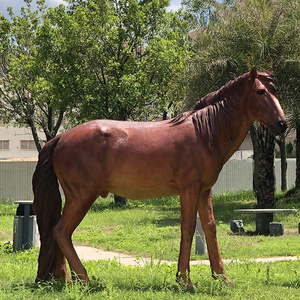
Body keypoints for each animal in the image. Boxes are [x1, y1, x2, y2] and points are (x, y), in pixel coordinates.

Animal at [32, 65, 286, 290]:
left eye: (275, 91)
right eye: (260, 92)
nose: (282, 124)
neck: (204, 132)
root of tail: (60, 137)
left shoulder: (204, 190)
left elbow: (210, 228)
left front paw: (222, 278)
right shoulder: (189, 189)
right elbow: (188, 227)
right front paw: (185, 281)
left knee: (57, 233)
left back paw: (65, 279)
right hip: (81, 197)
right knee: (61, 231)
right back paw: (83, 279)